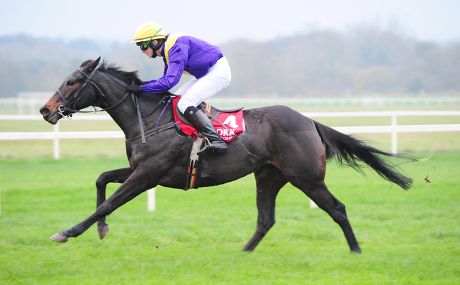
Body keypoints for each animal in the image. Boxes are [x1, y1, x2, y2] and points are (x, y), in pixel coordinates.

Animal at [39, 57, 414, 251]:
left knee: (337, 209)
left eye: (73, 82)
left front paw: (68, 232)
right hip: (269, 176)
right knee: (266, 219)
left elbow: (108, 203)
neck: (146, 117)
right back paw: (244, 253)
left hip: (306, 177)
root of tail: (309, 121)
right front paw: (101, 229)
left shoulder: (147, 175)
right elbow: (102, 179)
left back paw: (356, 250)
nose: (46, 110)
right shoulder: (141, 171)